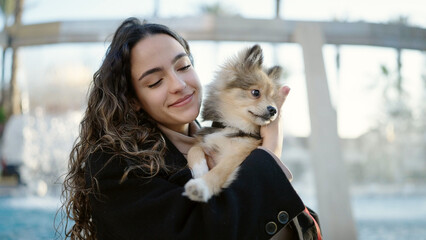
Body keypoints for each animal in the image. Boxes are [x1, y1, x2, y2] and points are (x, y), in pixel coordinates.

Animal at [183, 44, 282, 202]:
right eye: (256, 92)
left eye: (273, 100)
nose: (273, 110)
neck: (233, 126)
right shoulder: (204, 142)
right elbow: (194, 149)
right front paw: (200, 170)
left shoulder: (236, 155)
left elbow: (218, 172)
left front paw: (201, 186)